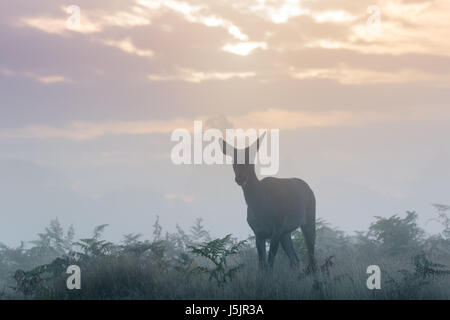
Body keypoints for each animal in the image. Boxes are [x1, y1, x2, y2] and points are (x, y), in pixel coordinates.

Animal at [221, 132, 316, 272]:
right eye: (233, 161)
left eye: (250, 161)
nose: (240, 178)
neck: (259, 208)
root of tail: (309, 188)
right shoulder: (258, 232)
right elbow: (262, 265)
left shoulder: (276, 228)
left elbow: (270, 264)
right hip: (286, 233)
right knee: (295, 260)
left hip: (308, 219)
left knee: (311, 256)